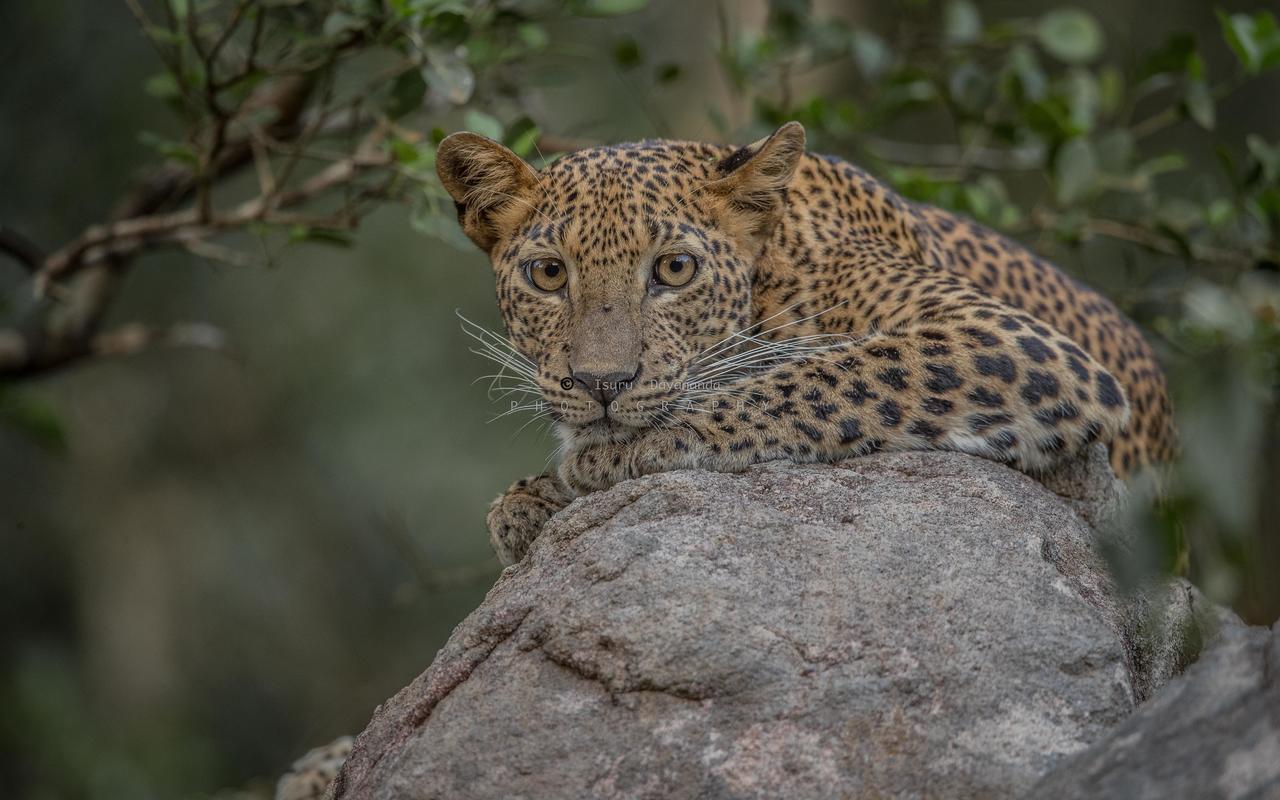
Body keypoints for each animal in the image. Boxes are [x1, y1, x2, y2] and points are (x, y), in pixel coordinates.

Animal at [275, 120, 1172, 798]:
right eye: (548, 273)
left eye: (674, 269)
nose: (602, 383)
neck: (771, 270)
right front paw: (531, 498)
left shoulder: (1008, 341)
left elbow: (820, 373)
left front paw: (610, 458)